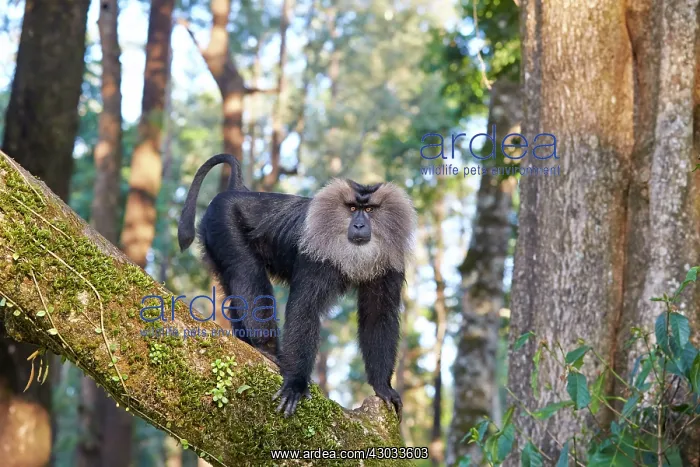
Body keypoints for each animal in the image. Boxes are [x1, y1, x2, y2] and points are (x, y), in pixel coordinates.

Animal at [178, 154, 416, 419]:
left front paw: (383, 387)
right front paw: (295, 383)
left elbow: (378, 316)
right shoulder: (316, 257)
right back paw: (265, 348)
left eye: (370, 210)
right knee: (246, 272)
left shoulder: (390, 263)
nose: (359, 226)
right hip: (223, 224)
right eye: (353, 208)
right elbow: (305, 308)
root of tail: (239, 191)